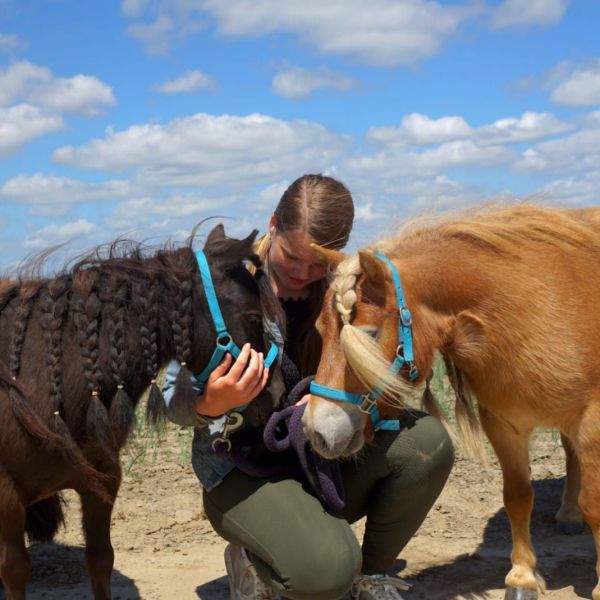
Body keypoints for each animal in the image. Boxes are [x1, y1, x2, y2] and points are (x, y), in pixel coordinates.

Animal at [0, 226, 284, 600]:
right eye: (253, 317)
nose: (278, 392)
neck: (36, 382)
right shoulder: (7, 498)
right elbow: (15, 570)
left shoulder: (103, 481)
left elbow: (100, 559)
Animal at [302, 205, 600, 600]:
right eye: (320, 332)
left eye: (370, 335)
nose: (316, 431)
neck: (543, 305)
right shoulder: (503, 424)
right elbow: (518, 496)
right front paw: (522, 577)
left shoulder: (592, 422)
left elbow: (594, 504)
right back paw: (567, 515)